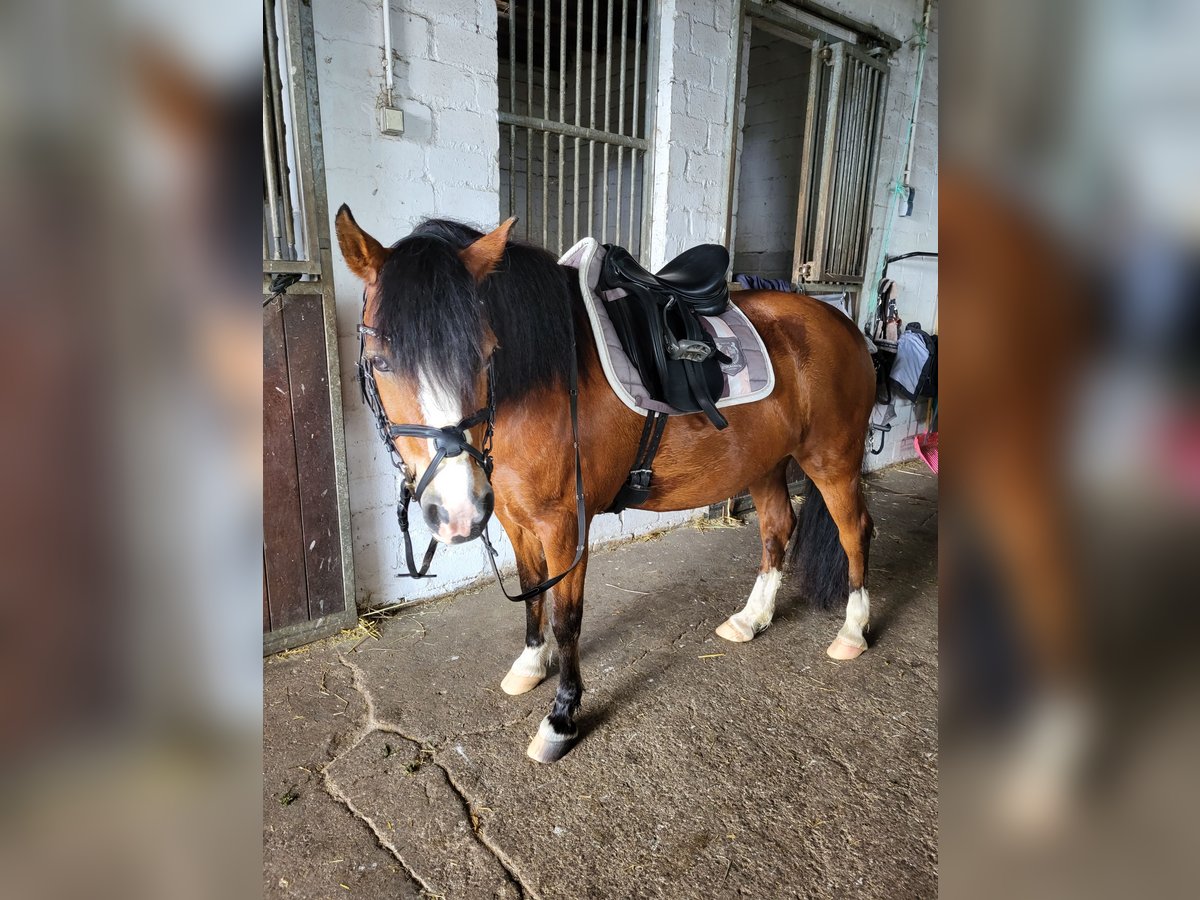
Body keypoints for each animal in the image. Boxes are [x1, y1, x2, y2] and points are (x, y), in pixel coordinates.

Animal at [333, 207, 878, 763]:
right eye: (379, 362)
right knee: (776, 528)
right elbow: (532, 593)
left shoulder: (564, 527)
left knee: (854, 531)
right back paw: (751, 619)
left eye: (487, 354)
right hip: (766, 464)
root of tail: (841, 323)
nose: (457, 513)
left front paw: (561, 717)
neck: (545, 378)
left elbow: (566, 617)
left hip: (831, 459)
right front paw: (530, 665)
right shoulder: (513, 517)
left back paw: (852, 631)